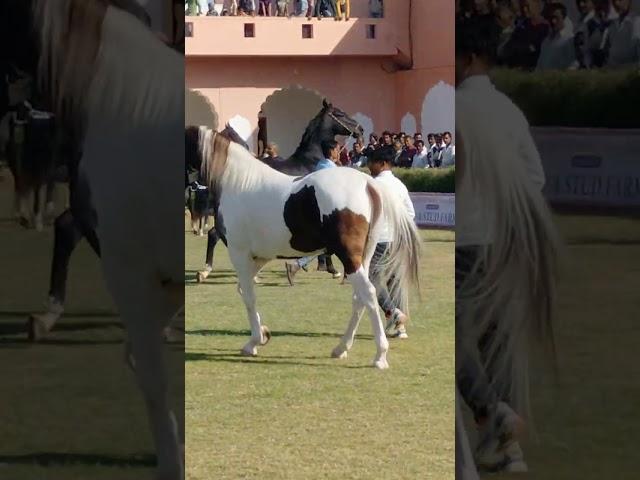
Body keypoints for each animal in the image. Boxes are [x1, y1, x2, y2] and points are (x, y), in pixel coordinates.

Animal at [188, 100, 362, 284]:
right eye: (340, 113)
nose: (360, 130)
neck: (310, 160)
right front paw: (331, 269)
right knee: (218, 235)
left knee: (215, 234)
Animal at [195, 129, 424, 370]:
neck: (239, 182)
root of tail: (367, 183)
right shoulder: (258, 258)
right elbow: (244, 289)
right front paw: (263, 334)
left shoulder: (239, 253)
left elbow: (249, 296)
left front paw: (253, 342)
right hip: (364, 258)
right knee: (359, 297)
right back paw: (341, 348)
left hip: (349, 257)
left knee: (369, 293)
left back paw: (380, 355)